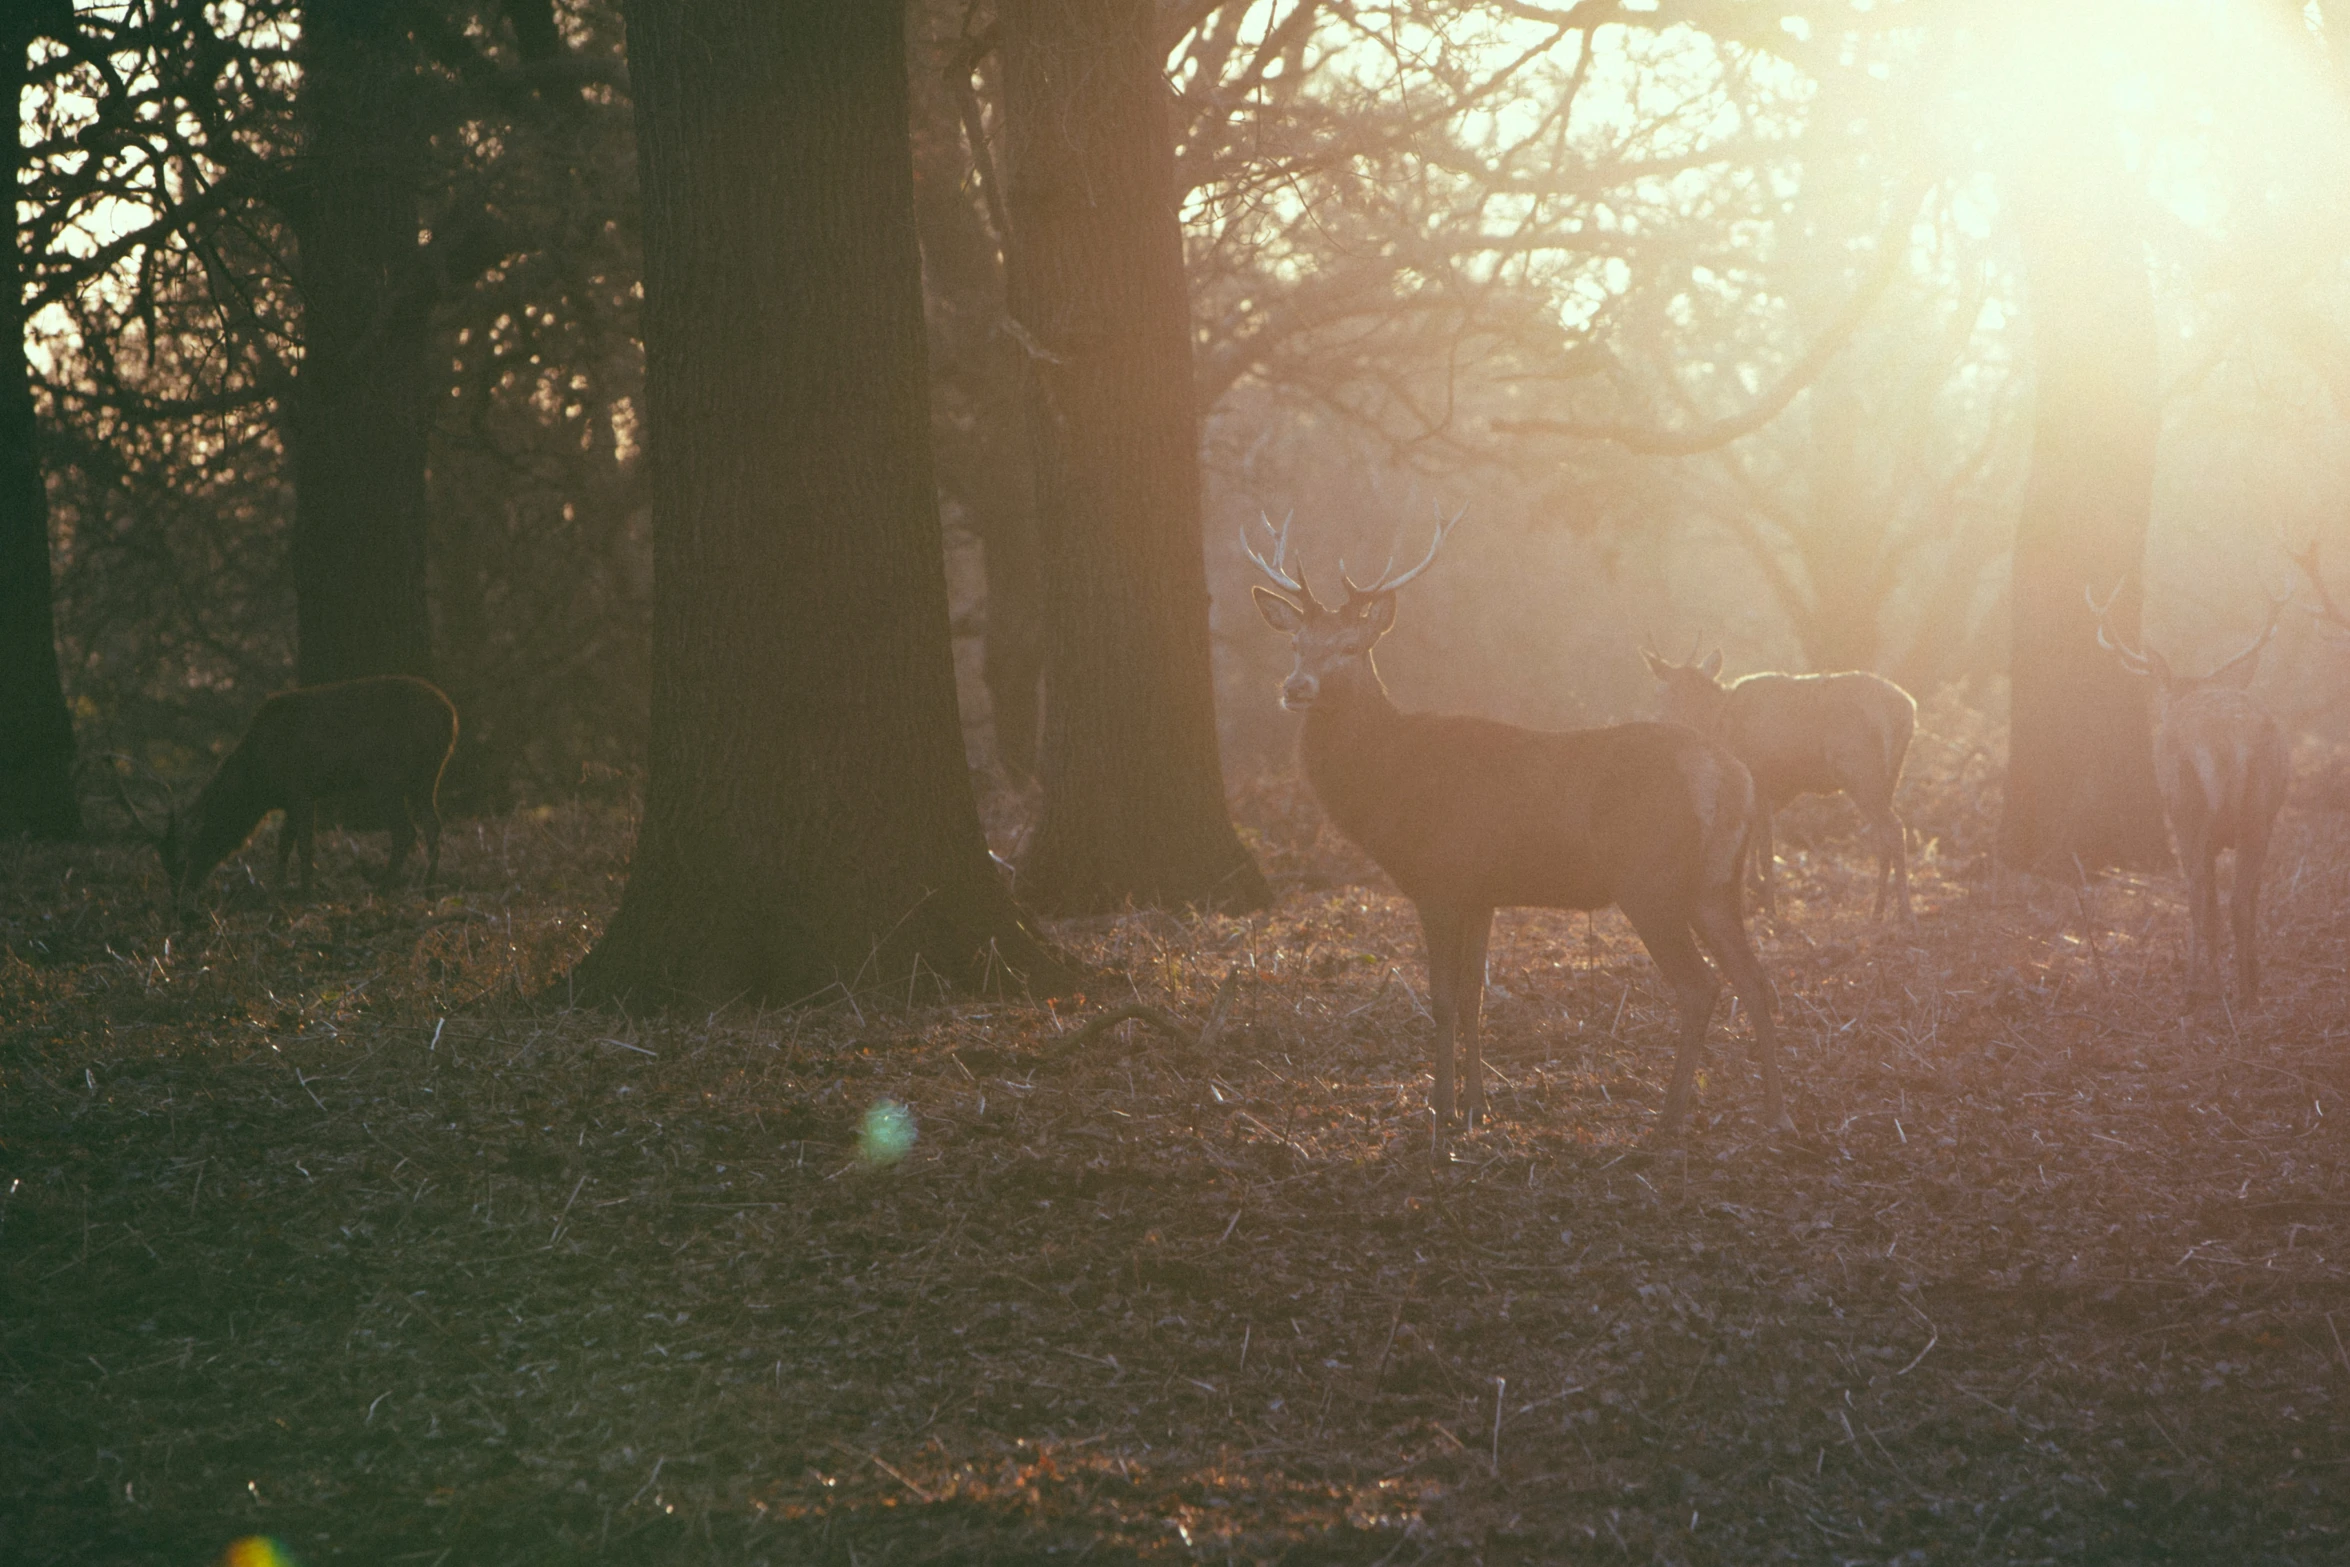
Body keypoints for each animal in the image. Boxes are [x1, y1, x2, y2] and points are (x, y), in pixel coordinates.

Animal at [1250, 514, 1776, 1141]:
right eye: (1296, 644)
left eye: (1350, 646)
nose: (1295, 687)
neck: (1393, 782)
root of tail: (1733, 776)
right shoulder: (1482, 892)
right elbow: (1475, 996)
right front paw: (1478, 1106)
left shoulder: (1440, 880)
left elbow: (1443, 998)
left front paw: (1440, 1111)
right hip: (1716, 883)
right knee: (1755, 979)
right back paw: (1776, 1106)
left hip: (1651, 882)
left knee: (1701, 988)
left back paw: (1667, 1123)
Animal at [1644, 648, 1917, 920]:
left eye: (1661, 691)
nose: (1661, 721)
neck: (1717, 724)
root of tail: (1909, 710)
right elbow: (1755, 840)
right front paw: (1755, 888)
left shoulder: (1760, 780)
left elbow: (1766, 850)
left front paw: (1769, 909)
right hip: (1890, 777)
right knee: (1883, 837)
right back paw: (1878, 912)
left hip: (1860, 772)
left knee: (1894, 828)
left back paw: (1904, 913)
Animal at [2086, 584, 2284, 1005]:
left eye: (2164, 699)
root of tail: (2229, 742)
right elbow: (2251, 896)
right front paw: (2253, 976)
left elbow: (2208, 902)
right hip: (2258, 813)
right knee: (2238, 900)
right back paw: (2246, 992)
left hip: (2187, 810)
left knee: (2198, 899)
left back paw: (2196, 992)